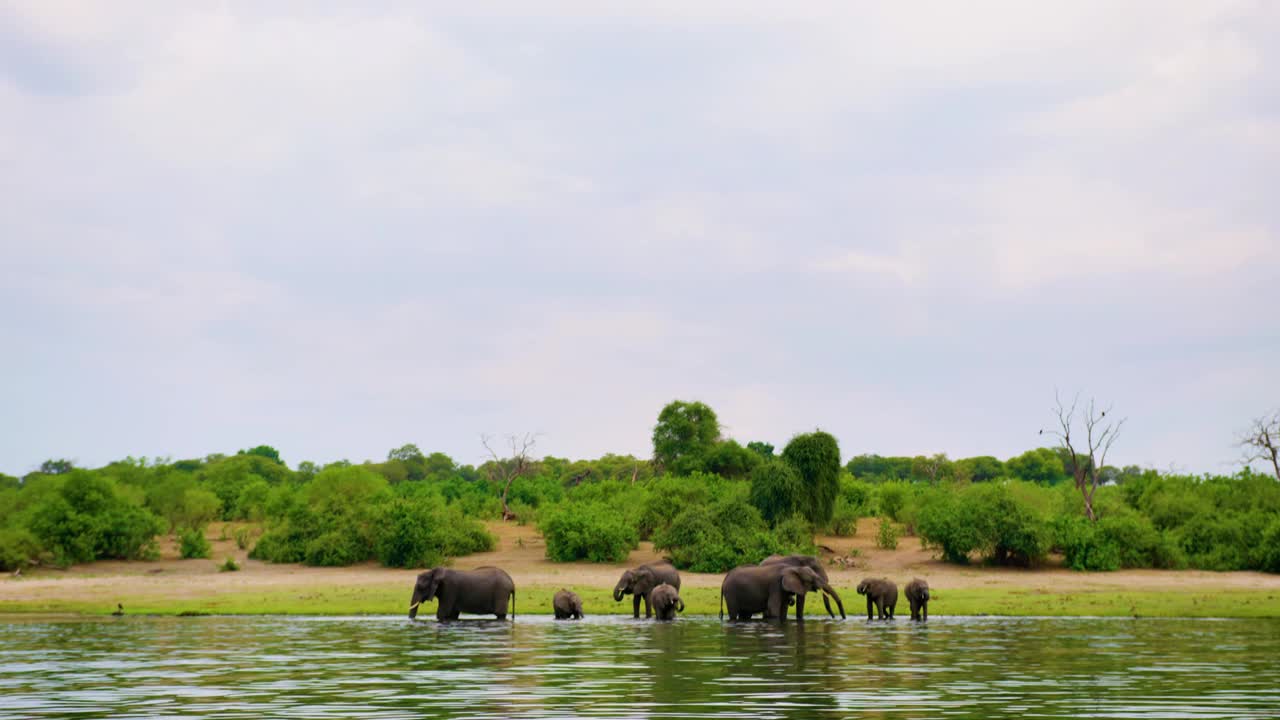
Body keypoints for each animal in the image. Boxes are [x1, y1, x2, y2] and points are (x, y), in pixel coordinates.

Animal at [721, 561, 849, 617]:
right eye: (813, 579)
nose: (842, 618)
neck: (793, 568)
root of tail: (724, 579)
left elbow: (784, 608)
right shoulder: (775, 585)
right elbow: (773, 607)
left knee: (745, 615)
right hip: (731, 593)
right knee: (733, 613)